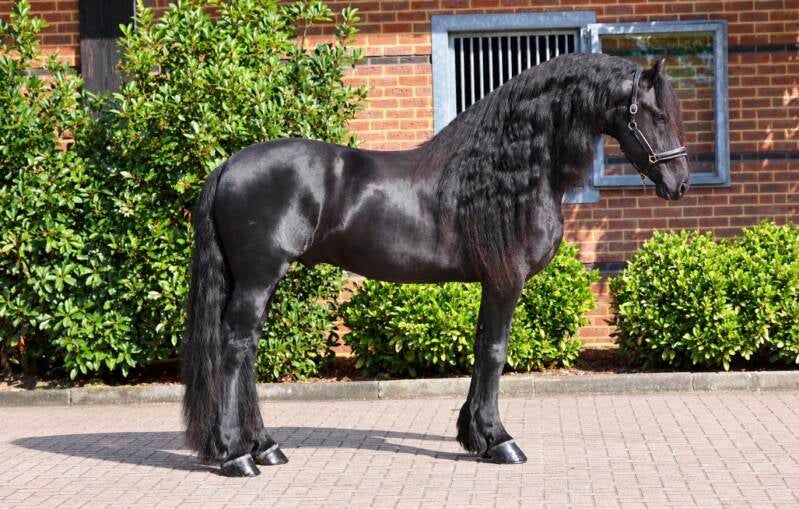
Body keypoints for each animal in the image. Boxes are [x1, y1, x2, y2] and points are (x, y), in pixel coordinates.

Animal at [181, 52, 690, 477]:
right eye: (656, 115)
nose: (680, 183)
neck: (505, 174)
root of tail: (228, 166)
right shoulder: (506, 281)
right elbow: (495, 352)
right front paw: (500, 441)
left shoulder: (490, 282)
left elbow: (482, 348)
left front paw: (476, 435)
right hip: (258, 278)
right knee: (234, 348)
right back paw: (236, 455)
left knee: (247, 350)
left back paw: (266, 446)